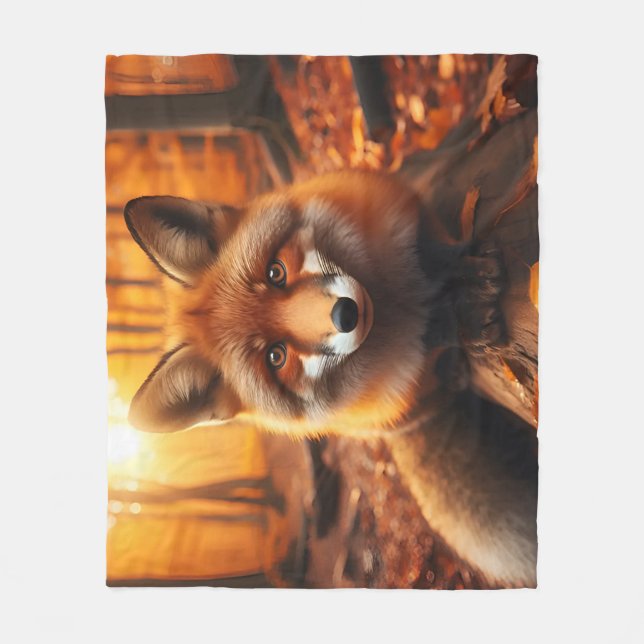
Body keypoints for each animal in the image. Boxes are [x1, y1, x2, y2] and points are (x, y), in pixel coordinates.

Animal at [123, 169, 538, 588]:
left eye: (275, 272)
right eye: (276, 356)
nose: (346, 314)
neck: (395, 302)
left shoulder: (409, 221)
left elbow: (436, 253)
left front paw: (467, 273)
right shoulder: (412, 355)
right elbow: (438, 329)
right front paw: (468, 314)